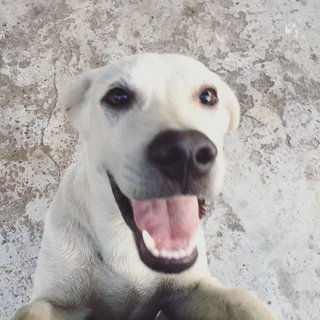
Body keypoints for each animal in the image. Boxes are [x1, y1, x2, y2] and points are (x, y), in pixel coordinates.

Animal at [13, 53, 276, 318]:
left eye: (208, 96)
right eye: (118, 97)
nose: (186, 152)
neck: (124, 242)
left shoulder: (189, 289)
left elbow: (241, 301)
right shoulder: (58, 300)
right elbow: (32, 310)